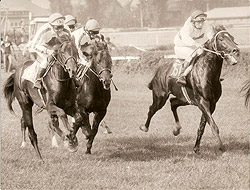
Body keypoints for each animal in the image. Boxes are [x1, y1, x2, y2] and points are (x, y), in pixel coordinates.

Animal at [141, 25, 240, 154]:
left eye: (232, 38)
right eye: (221, 39)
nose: (236, 50)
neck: (209, 74)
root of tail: (159, 70)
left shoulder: (211, 104)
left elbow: (202, 126)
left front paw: (196, 148)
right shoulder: (203, 102)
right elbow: (213, 126)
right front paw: (221, 147)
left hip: (186, 99)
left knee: (173, 102)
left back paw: (177, 129)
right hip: (160, 96)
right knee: (152, 109)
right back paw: (144, 127)